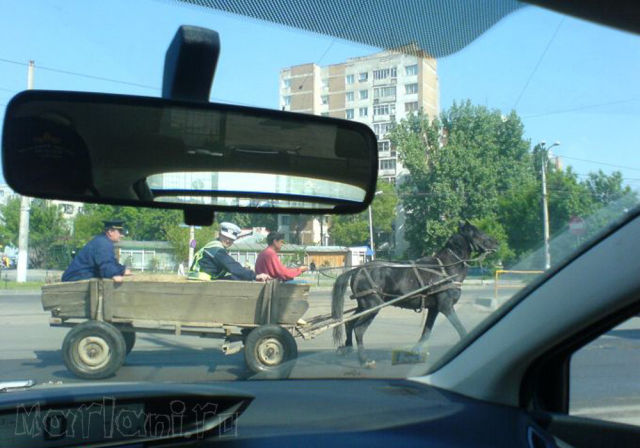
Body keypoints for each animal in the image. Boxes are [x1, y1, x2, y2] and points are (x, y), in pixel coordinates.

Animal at [330, 221, 500, 368]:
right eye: (477, 233)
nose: (496, 243)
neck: (445, 269)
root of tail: (358, 269)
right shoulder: (446, 306)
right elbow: (460, 328)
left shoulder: (434, 308)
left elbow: (426, 332)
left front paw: (413, 353)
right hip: (373, 306)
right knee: (358, 329)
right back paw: (364, 360)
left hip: (363, 306)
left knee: (349, 323)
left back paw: (347, 348)